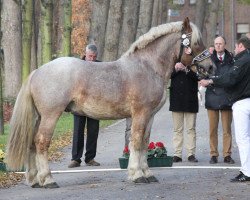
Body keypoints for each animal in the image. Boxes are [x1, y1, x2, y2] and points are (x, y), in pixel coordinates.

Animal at [5, 18, 213, 188]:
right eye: (195, 43)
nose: (210, 67)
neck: (147, 67)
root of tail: (37, 71)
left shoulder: (150, 116)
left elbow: (145, 142)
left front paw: (147, 173)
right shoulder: (141, 113)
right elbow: (136, 141)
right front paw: (137, 175)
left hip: (39, 117)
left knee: (31, 142)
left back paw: (34, 180)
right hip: (50, 115)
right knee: (41, 142)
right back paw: (47, 179)